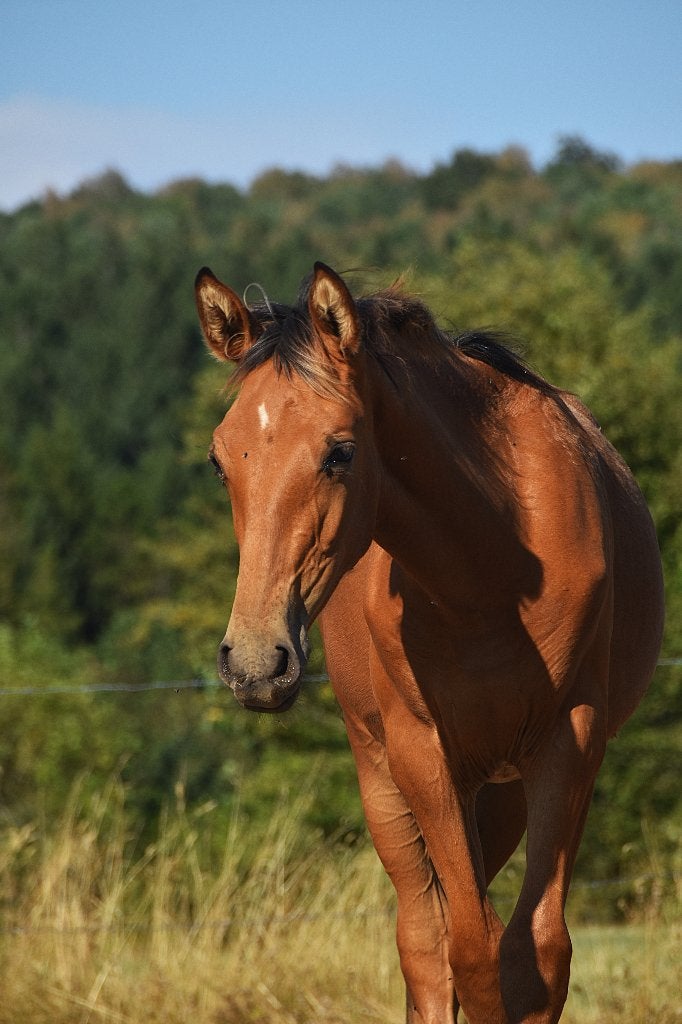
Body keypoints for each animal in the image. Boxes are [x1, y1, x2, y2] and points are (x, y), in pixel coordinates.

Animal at [194, 261, 664, 1024]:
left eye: (340, 451)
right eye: (217, 460)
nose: (256, 664)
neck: (488, 575)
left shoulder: (570, 741)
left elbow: (535, 952)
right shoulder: (422, 753)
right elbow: (467, 950)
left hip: (499, 792)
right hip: (388, 780)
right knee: (422, 938)